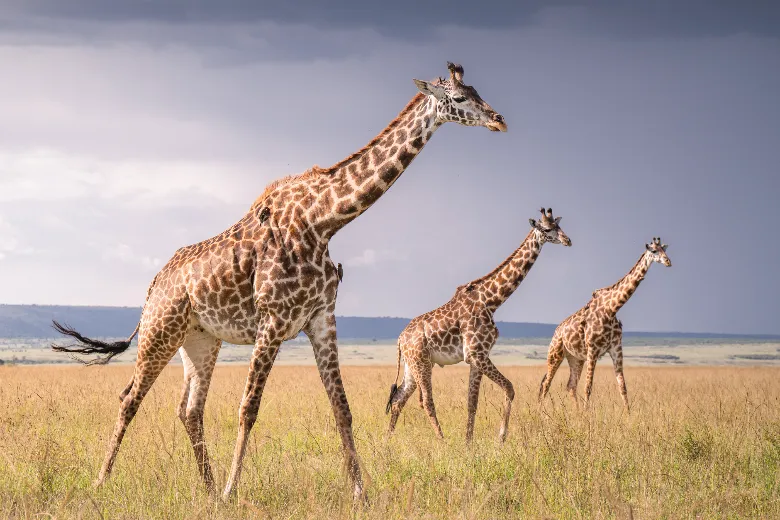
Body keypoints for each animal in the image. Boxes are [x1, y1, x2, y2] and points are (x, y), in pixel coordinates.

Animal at [50, 61, 507, 501]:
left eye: (477, 91)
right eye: (458, 97)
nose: (499, 119)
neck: (324, 221)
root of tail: (154, 284)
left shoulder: (321, 319)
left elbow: (342, 408)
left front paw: (360, 492)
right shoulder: (271, 321)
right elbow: (248, 408)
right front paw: (233, 492)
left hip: (200, 340)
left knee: (190, 410)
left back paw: (207, 488)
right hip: (160, 331)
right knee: (129, 398)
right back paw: (103, 483)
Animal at [386, 208, 572, 442]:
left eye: (559, 226)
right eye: (547, 229)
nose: (568, 240)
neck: (492, 301)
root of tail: (400, 339)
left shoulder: (477, 358)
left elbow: (472, 402)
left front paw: (469, 443)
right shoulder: (476, 354)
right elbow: (510, 388)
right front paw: (500, 438)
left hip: (412, 365)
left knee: (398, 398)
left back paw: (387, 442)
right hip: (421, 363)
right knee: (425, 401)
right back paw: (442, 441)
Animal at [538, 237, 672, 411]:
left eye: (665, 249)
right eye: (654, 251)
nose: (668, 262)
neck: (611, 308)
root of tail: (556, 331)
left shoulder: (616, 348)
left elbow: (622, 386)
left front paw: (628, 414)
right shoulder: (592, 349)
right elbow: (588, 386)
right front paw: (587, 414)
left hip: (575, 358)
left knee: (570, 385)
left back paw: (576, 412)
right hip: (555, 353)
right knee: (546, 384)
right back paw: (542, 412)